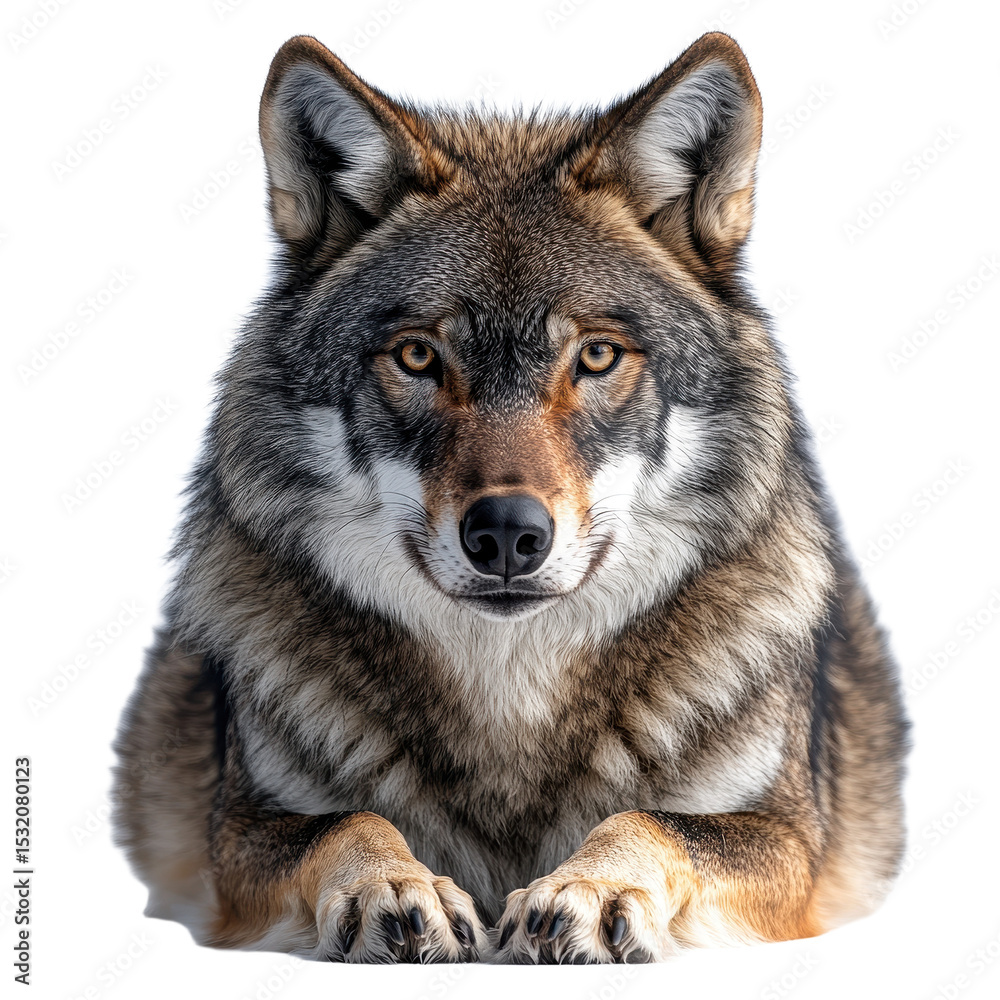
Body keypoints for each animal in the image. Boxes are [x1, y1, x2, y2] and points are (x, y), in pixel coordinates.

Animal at [112, 31, 910, 964]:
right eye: (418, 357)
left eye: (596, 357)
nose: (504, 534)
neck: (510, 700)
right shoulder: (236, 830)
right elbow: (348, 822)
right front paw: (398, 884)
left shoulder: (790, 839)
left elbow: (653, 820)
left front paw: (589, 889)